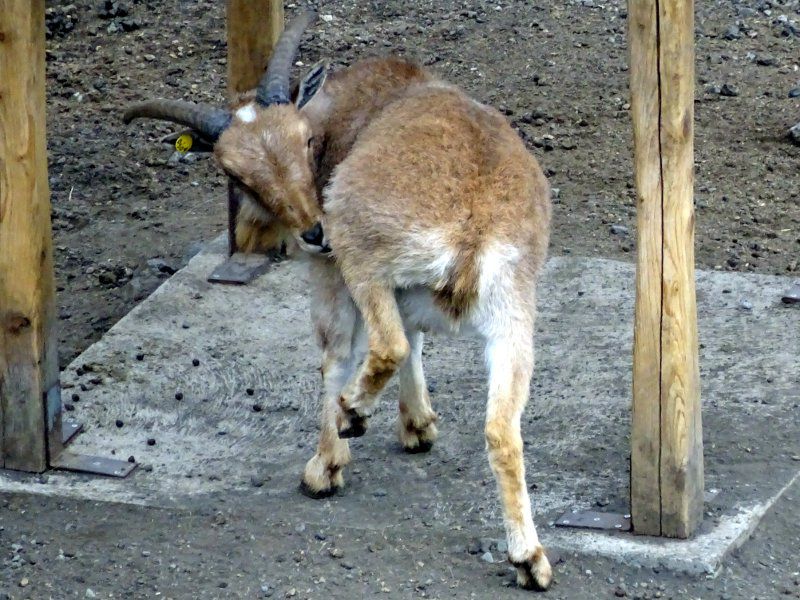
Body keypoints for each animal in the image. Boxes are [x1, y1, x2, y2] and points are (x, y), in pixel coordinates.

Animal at [123, 11, 553, 591]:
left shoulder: (334, 273)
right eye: (235, 173)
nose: (313, 232)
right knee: (501, 431)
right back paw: (528, 558)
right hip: (513, 314)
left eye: (306, 141)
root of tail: (472, 226)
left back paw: (352, 414)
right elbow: (416, 340)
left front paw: (325, 466)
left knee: (384, 345)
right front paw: (418, 426)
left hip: (362, 253)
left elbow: (338, 353)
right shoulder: (407, 294)